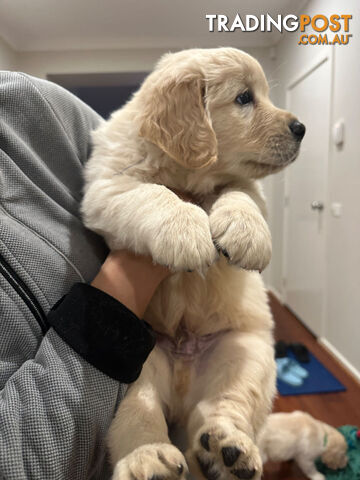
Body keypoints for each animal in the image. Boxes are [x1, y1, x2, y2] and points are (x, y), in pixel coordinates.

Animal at [82, 47, 306, 480]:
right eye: (244, 98)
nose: (301, 127)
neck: (191, 174)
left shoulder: (251, 190)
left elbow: (240, 193)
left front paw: (246, 233)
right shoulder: (107, 188)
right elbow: (152, 194)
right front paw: (185, 230)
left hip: (244, 352)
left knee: (222, 406)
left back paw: (225, 450)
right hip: (138, 363)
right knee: (138, 418)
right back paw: (149, 459)